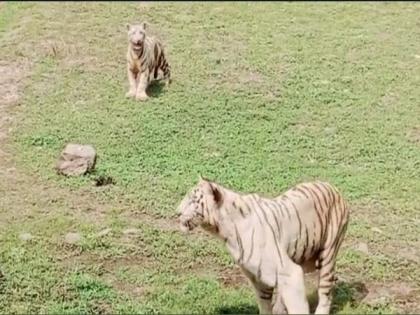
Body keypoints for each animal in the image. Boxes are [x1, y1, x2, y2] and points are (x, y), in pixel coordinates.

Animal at [176, 179, 348, 314]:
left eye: (193, 200)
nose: (177, 213)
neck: (225, 231)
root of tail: (332, 187)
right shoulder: (258, 278)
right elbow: (265, 306)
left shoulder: (290, 272)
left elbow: (298, 307)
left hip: (328, 254)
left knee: (325, 293)